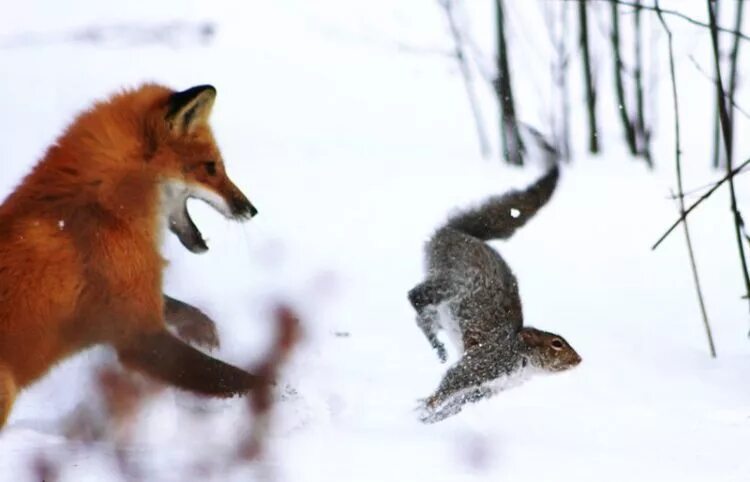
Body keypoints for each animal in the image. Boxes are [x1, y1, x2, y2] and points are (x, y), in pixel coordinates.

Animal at [0, 84, 264, 428]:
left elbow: (175, 306)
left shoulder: (133, 296)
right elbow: (234, 378)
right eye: (211, 167)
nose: (251, 209)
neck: (107, 207)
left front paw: (202, 328)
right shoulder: (140, 338)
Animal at [412, 162, 580, 422]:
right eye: (557, 344)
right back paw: (436, 343)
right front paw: (427, 406)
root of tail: (458, 233)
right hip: (448, 282)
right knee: (415, 297)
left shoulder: (485, 390)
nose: (579, 360)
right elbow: (451, 382)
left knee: (422, 318)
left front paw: (433, 419)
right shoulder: (483, 363)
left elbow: (457, 404)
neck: (520, 358)